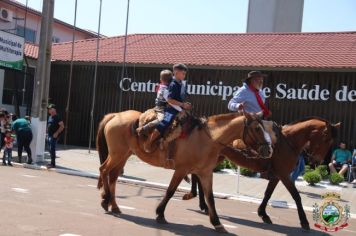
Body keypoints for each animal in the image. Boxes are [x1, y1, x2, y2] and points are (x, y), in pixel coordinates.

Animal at [96, 110, 272, 232]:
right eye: (257, 128)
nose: (269, 150)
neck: (207, 139)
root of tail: (115, 115)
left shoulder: (205, 173)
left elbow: (210, 198)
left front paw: (217, 223)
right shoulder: (181, 169)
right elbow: (170, 191)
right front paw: (160, 213)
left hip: (123, 155)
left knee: (113, 176)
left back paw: (113, 205)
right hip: (117, 154)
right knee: (104, 170)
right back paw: (105, 200)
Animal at [184, 117, 340, 231]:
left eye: (331, 141)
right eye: (326, 138)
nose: (317, 160)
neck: (288, 142)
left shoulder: (277, 176)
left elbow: (268, 194)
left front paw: (263, 214)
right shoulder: (284, 175)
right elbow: (296, 196)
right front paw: (304, 222)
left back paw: (202, 204)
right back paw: (200, 202)